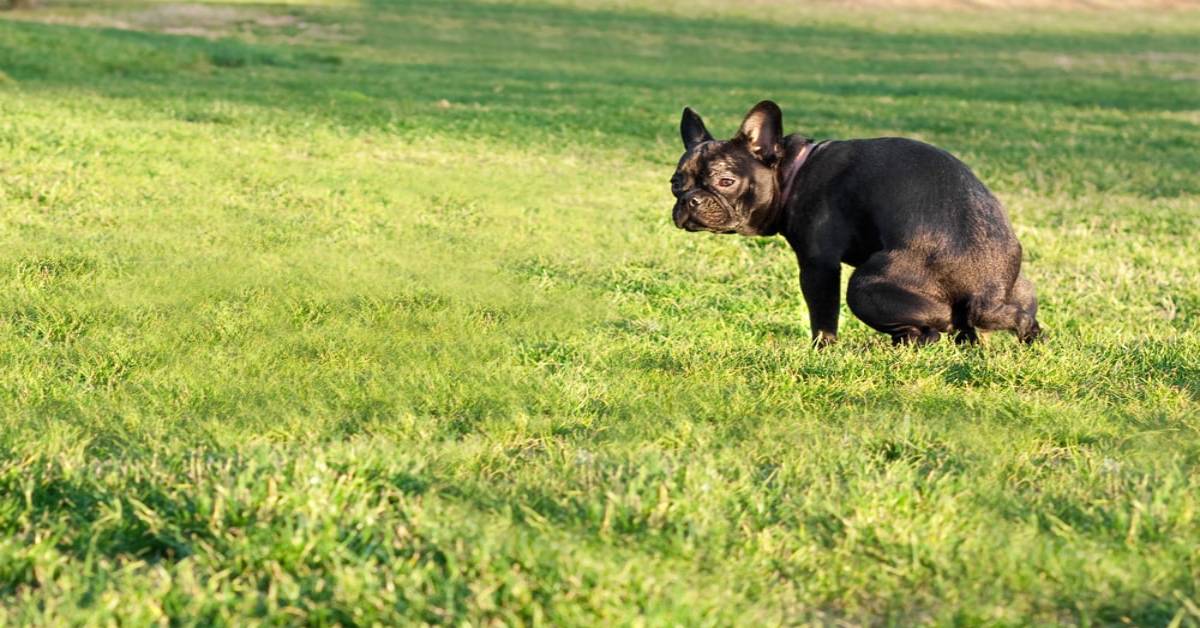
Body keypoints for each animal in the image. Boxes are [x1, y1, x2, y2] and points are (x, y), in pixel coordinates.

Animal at [676, 103, 1041, 348]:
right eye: (676, 183)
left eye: (725, 181)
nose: (690, 200)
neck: (793, 170)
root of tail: (987, 292)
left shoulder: (818, 265)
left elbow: (822, 315)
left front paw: (821, 349)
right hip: (1021, 289)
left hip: (864, 287)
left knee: (933, 331)